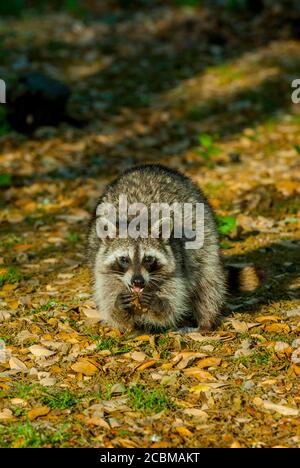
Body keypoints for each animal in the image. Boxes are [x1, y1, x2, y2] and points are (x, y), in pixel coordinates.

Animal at [87, 165, 227, 332]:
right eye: (124, 259)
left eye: (148, 259)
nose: (137, 281)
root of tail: (150, 167)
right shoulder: (103, 269)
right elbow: (108, 299)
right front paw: (118, 307)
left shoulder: (178, 263)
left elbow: (173, 304)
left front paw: (160, 305)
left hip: (206, 236)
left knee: (209, 282)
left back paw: (206, 321)